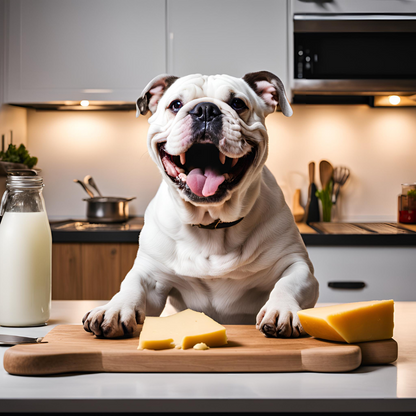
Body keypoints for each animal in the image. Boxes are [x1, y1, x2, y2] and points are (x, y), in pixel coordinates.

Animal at [83, 70, 320, 338]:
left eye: (237, 103)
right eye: (175, 105)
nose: (205, 109)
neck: (211, 222)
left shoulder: (297, 265)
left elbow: (288, 283)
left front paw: (281, 309)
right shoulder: (151, 274)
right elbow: (131, 284)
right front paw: (114, 308)